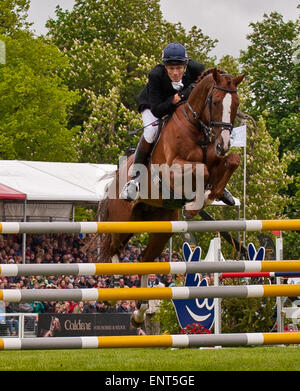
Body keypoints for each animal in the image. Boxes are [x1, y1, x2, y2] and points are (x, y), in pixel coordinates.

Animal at [97, 67, 245, 328]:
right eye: (216, 102)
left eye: (235, 104)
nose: (224, 144)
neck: (198, 128)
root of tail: (114, 179)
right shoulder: (173, 169)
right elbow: (202, 170)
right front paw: (195, 203)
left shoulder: (217, 159)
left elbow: (231, 163)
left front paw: (214, 195)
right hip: (121, 220)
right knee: (114, 248)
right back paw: (112, 291)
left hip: (161, 226)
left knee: (144, 259)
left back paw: (139, 313)